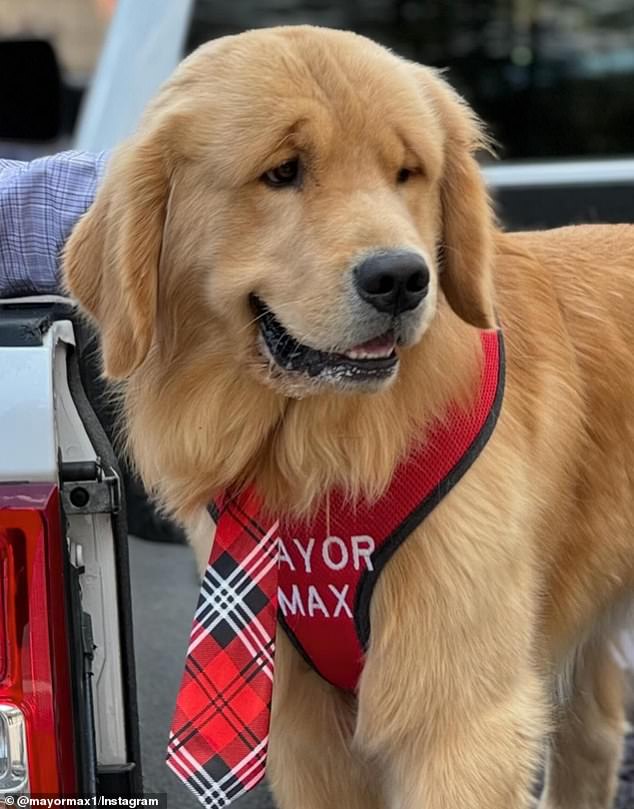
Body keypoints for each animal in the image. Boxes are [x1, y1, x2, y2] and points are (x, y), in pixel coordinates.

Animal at [64, 25, 632, 808]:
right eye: (283, 172)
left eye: (407, 172)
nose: (401, 279)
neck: (324, 457)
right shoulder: (304, 723)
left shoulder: (461, 716)